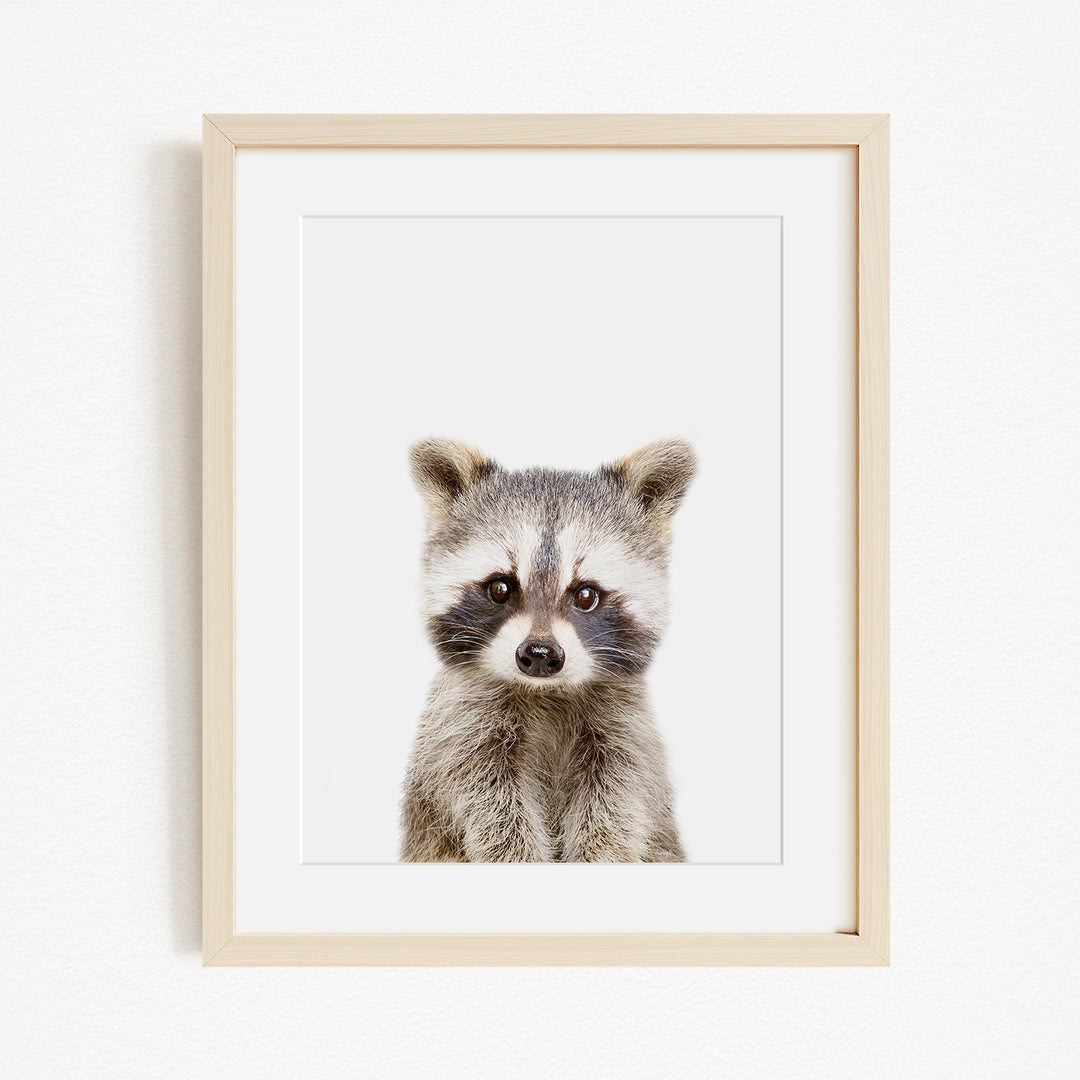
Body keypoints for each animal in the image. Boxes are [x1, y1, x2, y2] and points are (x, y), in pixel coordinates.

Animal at [399, 437, 696, 863]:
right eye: (500, 588)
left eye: (586, 595)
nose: (539, 655)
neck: (546, 692)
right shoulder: (461, 722)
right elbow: (485, 797)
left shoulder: (626, 728)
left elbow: (621, 796)